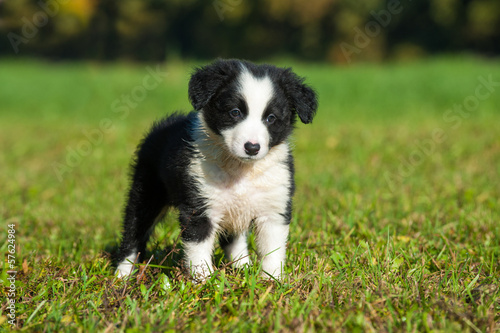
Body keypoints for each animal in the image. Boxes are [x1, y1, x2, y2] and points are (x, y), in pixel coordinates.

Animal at [115, 58, 318, 278]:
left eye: (271, 118)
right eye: (235, 112)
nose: (252, 147)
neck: (241, 169)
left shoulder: (274, 206)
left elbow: (272, 250)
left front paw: (272, 279)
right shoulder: (199, 206)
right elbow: (198, 248)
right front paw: (204, 281)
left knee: (234, 239)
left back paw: (241, 266)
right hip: (146, 191)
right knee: (134, 231)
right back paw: (122, 274)